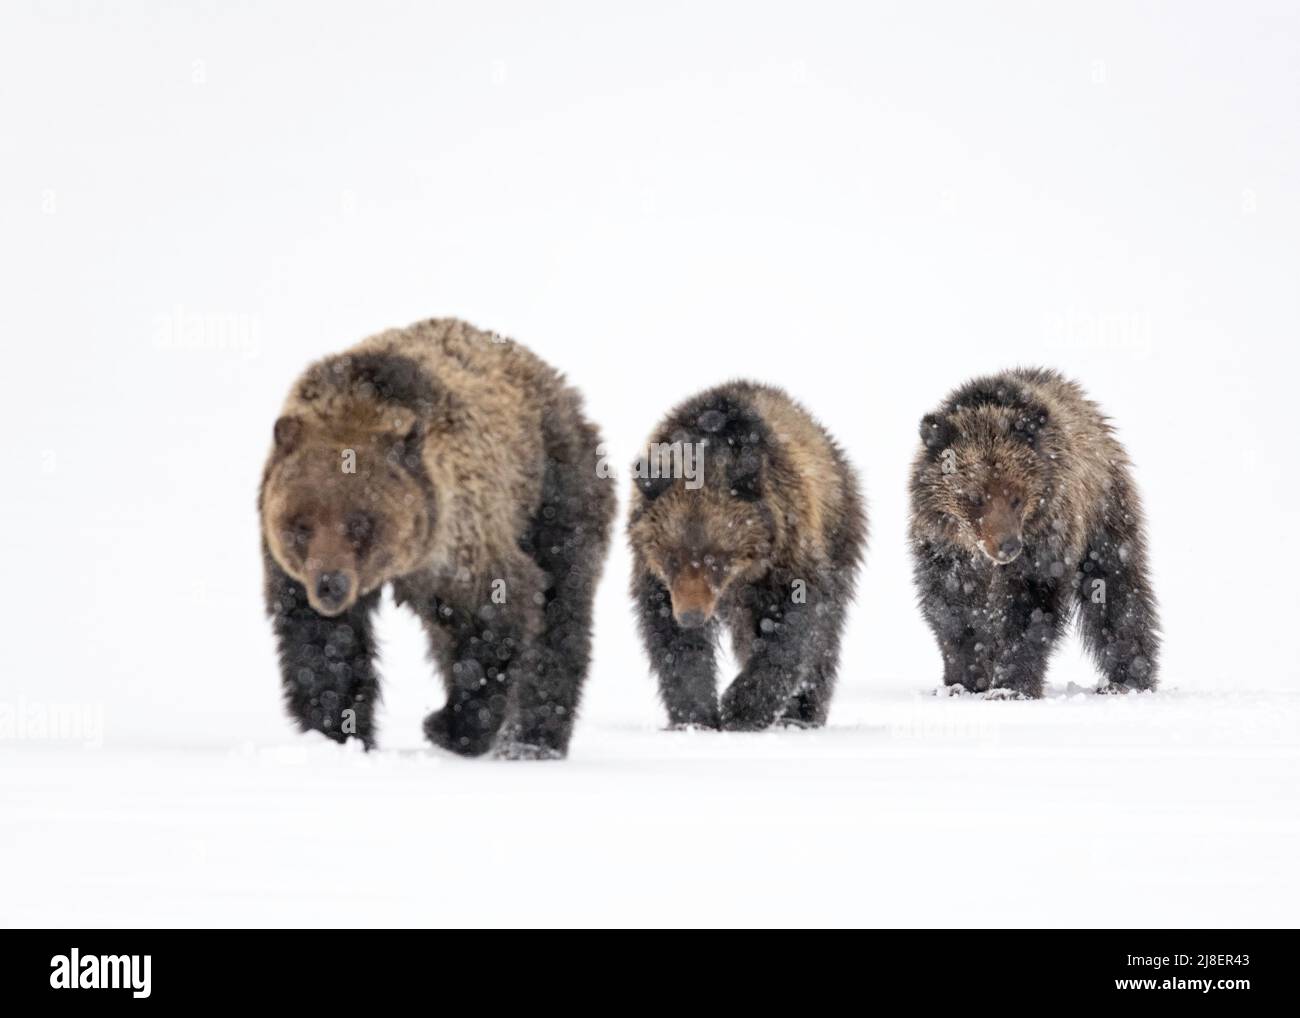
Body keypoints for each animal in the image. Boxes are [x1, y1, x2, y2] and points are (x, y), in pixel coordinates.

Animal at [259, 318, 615, 759]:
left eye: (360, 523)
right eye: (301, 525)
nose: (330, 585)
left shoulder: (462, 538)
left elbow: (498, 617)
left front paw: (450, 725)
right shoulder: (291, 573)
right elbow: (324, 647)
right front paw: (339, 734)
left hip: (555, 493)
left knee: (562, 614)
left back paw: (533, 741)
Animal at [627, 381, 867, 731]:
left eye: (717, 557)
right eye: (672, 557)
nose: (691, 615)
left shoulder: (788, 552)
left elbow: (796, 624)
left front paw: (742, 707)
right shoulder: (656, 578)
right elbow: (672, 642)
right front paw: (694, 715)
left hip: (839, 529)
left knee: (825, 635)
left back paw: (803, 714)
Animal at [909, 367, 1159, 699]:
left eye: (1016, 496)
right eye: (975, 497)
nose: (1008, 546)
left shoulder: (1045, 544)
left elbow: (1029, 611)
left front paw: (1011, 686)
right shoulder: (945, 551)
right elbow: (952, 612)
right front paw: (962, 681)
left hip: (1104, 516)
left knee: (1117, 592)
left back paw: (1127, 680)